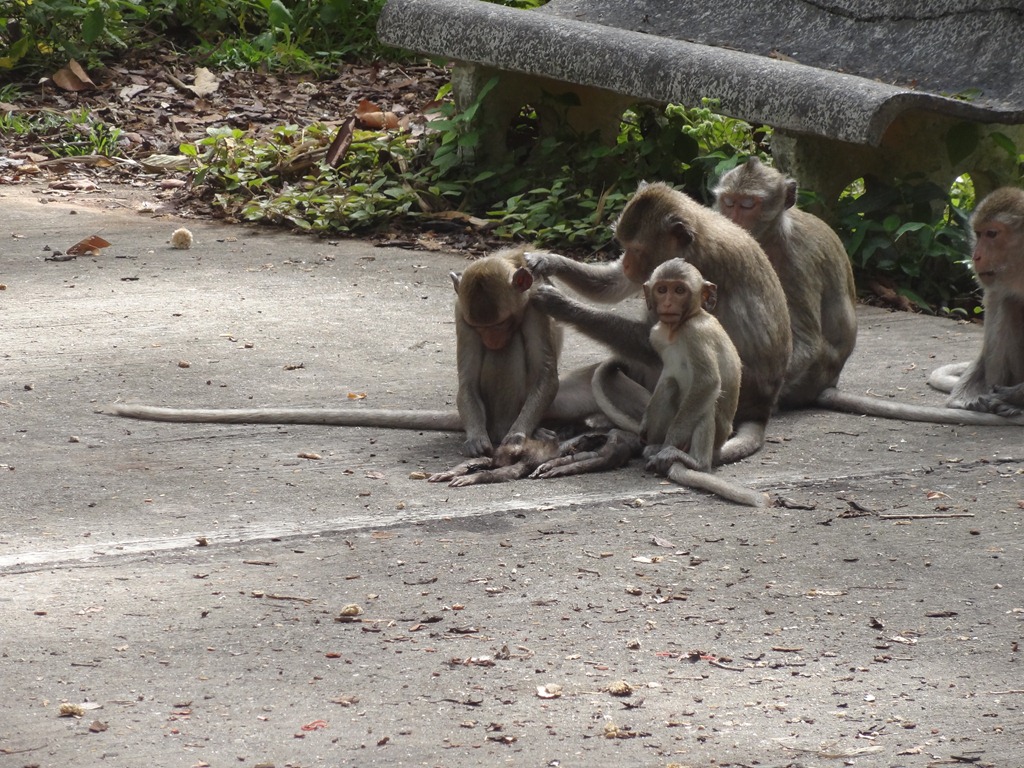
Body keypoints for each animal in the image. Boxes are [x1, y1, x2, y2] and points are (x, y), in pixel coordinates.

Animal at [101, 248, 572, 453]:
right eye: (481, 327)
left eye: (500, 324)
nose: (492, 337)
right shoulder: (460, 311)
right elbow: (466, 378)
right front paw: (477, 439)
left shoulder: (534, 308)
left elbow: (545, 374)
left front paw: (517, 437)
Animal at [526, 180, 793, 467]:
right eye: (624, 245)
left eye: (637, 249)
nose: (627, 262)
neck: (695, 238)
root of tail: (762, 408)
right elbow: (615, 283)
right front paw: (548, 260)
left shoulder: (696, 270)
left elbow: (657, 340)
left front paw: (561, 305)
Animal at [713, 157, 857, 407]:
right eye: (729, 202)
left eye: (748, 205)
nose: (730, 221)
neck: (772, 236)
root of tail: (830, 382)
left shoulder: (797, 261)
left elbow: (806, 342)